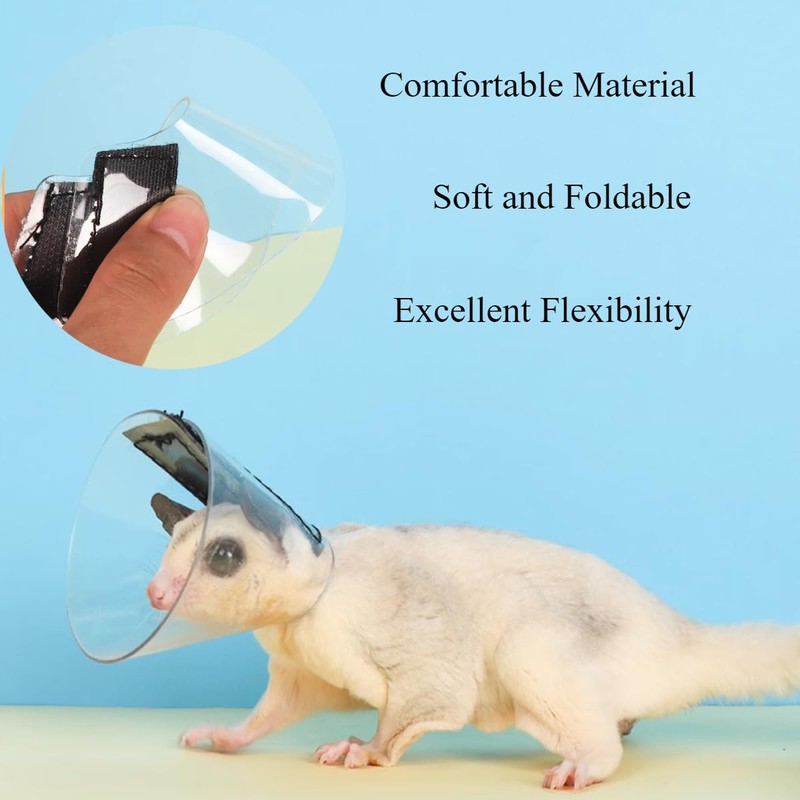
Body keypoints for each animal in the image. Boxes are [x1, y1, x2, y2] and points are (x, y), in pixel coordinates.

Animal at [148, 494, 800, 790]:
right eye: (171, 544)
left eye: (223, 557)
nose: (156, 594)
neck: (295, 616)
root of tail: (675, 631)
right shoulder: (300, 666)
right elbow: (274, 711)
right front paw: (225, 736)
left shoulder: (390, 621)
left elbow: (430, 695)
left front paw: (368, 749)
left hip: (529, 652)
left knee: (584, 727)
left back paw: (586, 763)